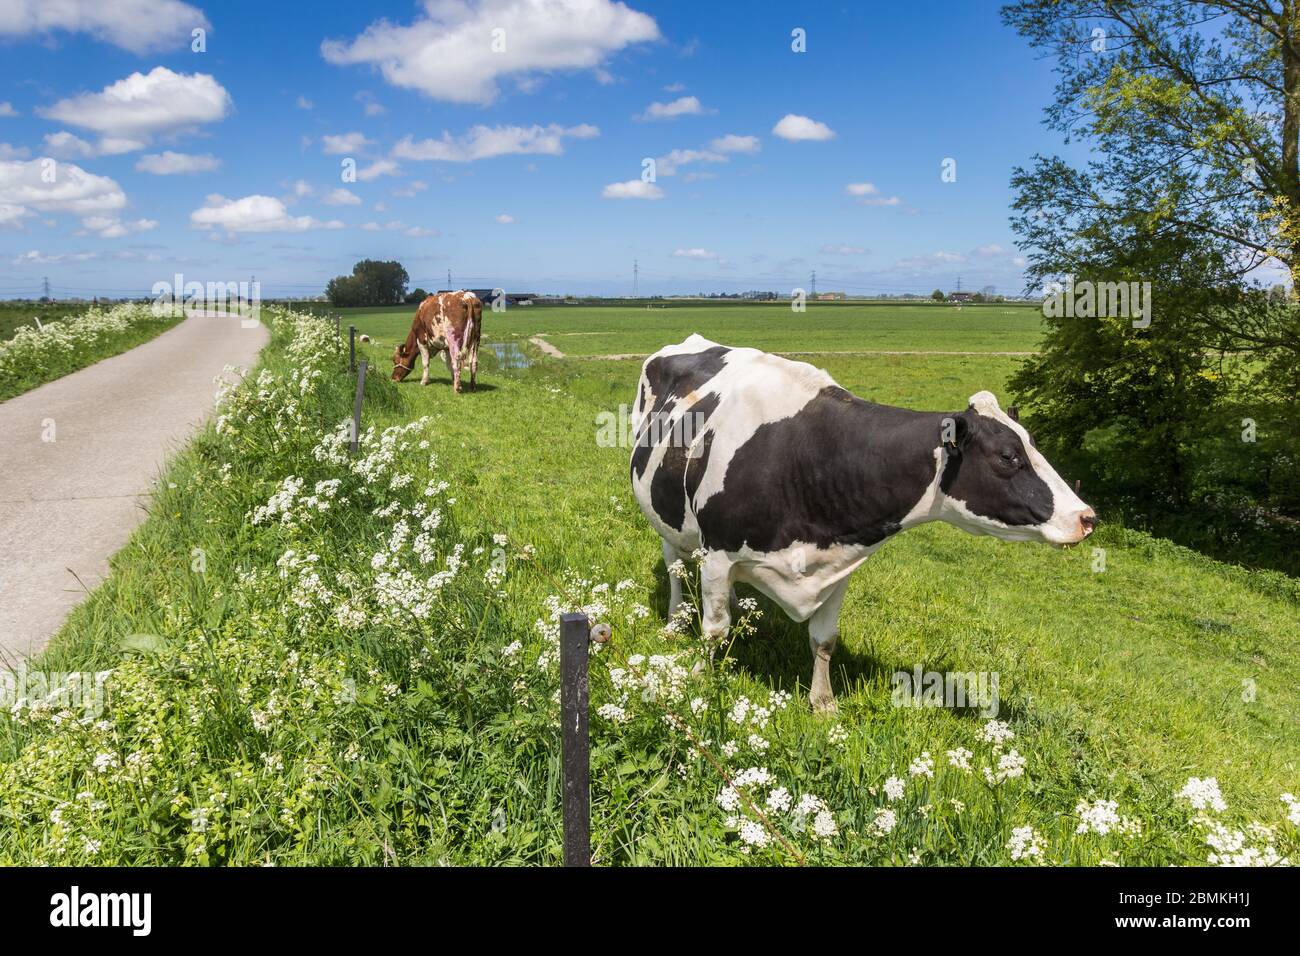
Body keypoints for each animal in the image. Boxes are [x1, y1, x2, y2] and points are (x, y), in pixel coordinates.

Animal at [630, 334, 1096, 713]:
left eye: (1033, 443)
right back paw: (673, 623)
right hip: (665, 518)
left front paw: (823, 704)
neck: (808, 458)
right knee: (675, 567)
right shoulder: (718, 553)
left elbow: (824, 639)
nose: (1086, 517)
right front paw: (700, 680)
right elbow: (714, 631)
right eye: (1008, 456)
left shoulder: (837, 563)